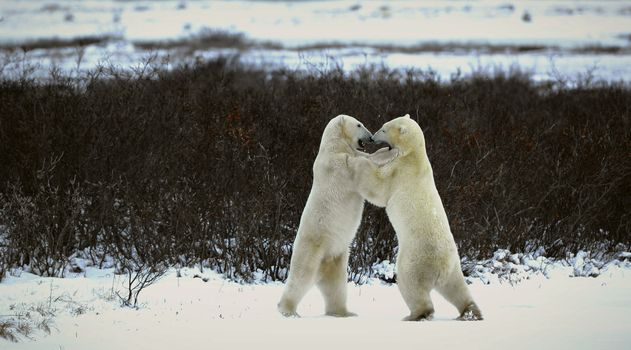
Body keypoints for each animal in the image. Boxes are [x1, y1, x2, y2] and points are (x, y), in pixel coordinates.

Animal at [278, 114, 380, 318]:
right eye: (359, 124)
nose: (371, 137)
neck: (334, 144)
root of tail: (322, 268)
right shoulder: (337, 164)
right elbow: (360, 168)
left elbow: (363, 159)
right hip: (312, 249)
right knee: (301, 277)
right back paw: (287, 310)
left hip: (336, 257)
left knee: (336, 287)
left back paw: (344, 312)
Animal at [350, 114, 484, 320]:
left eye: (384, 128)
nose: (372, 137)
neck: (414, 156)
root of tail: (442, 266)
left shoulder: (399, 172)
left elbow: (378, 188)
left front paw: (359, 162)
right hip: (454, 266)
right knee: (457, 288)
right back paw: (470, 312)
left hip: (415, 259)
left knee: (411, 284)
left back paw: (416, 314)